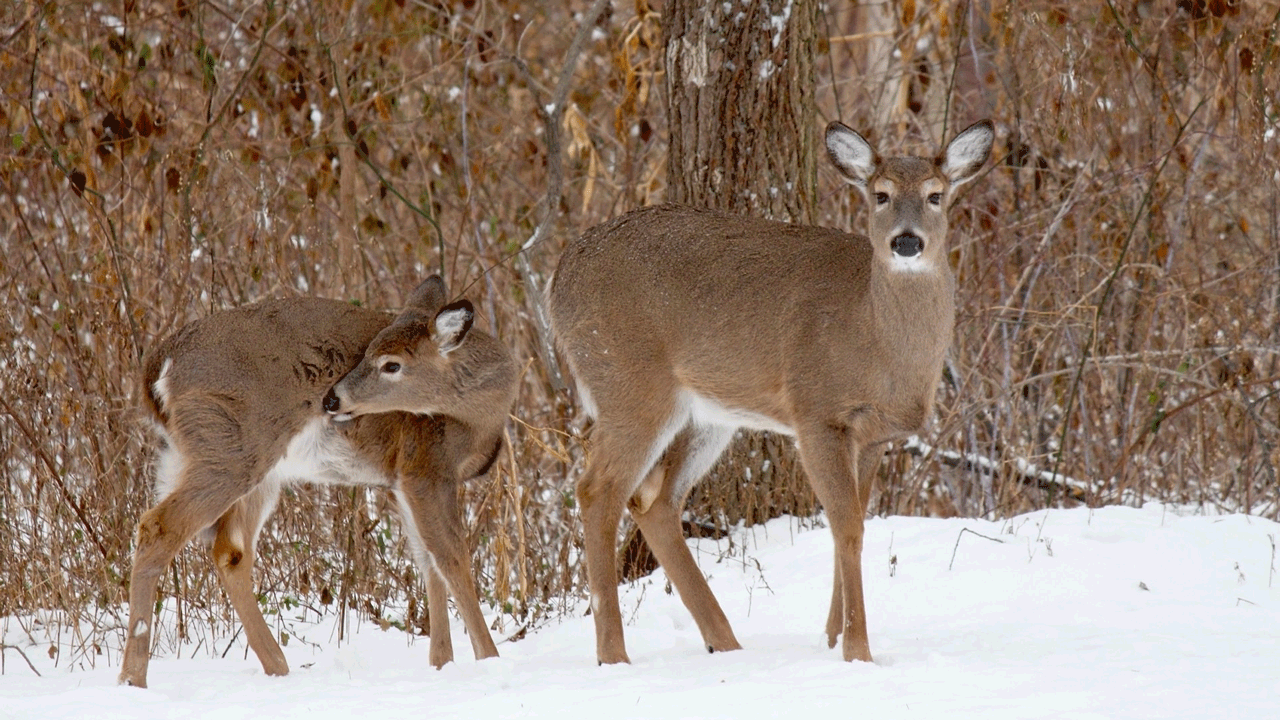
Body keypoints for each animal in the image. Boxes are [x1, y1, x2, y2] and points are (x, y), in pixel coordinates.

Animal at [117, 274, 517, 681]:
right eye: (372, 355)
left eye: (392, 364)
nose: (331, 399)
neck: (480, 418)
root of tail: (158, 366)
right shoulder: (426, 465)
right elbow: (452, 557)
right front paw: (489, 658)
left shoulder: (402, 478)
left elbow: (427, 561)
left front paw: (441, 663)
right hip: (230, 448)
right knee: (159, 528)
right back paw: (133, 677)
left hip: (232, 463)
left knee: (230, 551)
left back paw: (277, 667)